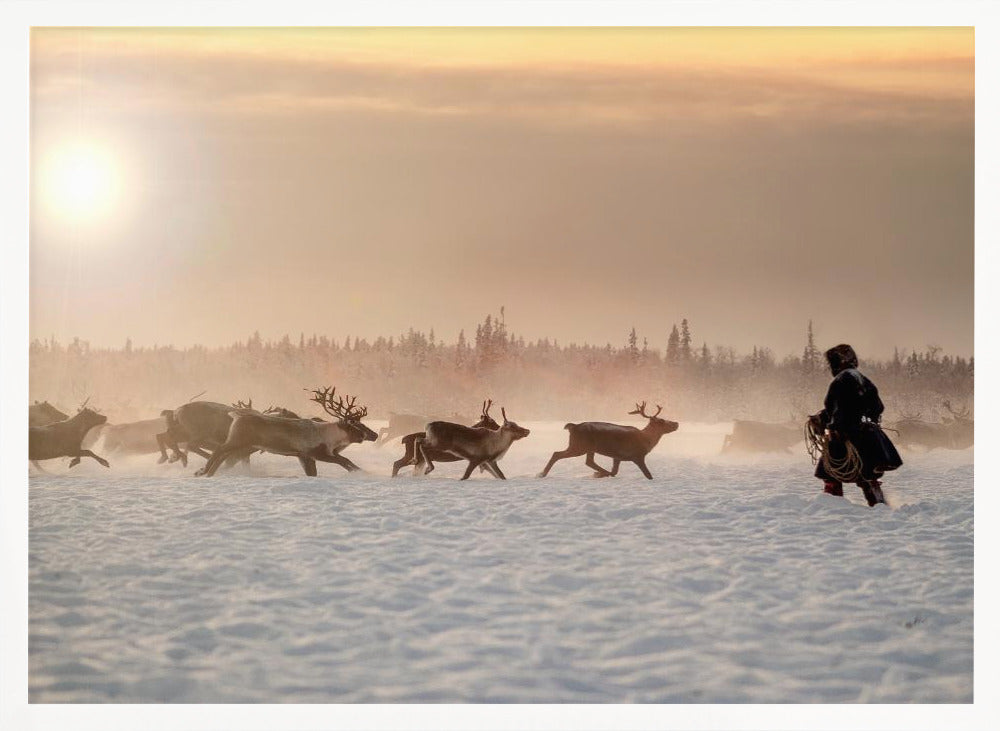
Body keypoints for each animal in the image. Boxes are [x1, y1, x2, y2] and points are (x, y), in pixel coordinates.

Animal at [198, 387, 377, 477]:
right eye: (356, 425)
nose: (375, 435)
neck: (331, 437)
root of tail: (235, 415)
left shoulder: (305, 456)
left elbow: (343, 461)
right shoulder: (315, 453)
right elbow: (344, 461)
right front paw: (364, 473)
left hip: (240, 443)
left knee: (223, 455)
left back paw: (206, 472)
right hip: (237, 440)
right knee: (219, 450)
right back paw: (204, 472)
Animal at [538, 401, 679, 479]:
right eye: (661, 421)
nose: (676, 423)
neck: (647, 440)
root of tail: (572, 427)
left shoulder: (617, 456)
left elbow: (615, 471)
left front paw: (599, 474)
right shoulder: (638, 456)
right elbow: (648, 475)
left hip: (587, 447)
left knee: (589, 461)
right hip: (579, 446)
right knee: (557, 454)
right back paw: (541, 474)